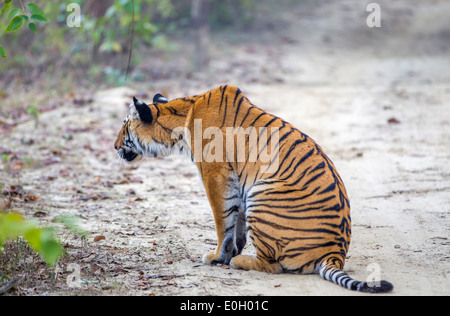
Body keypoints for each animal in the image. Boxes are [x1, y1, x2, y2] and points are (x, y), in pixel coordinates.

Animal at [113, 85, 394, 292]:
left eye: (124, 125)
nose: (114, 146)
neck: (182, 116)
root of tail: (335, 253)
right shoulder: (238, 182)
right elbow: (236, 220)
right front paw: (233, 249)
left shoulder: (215, 175)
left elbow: (222, 221)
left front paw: (218, 257)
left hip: (263, 193)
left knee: (274, 265)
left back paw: (240, 261)